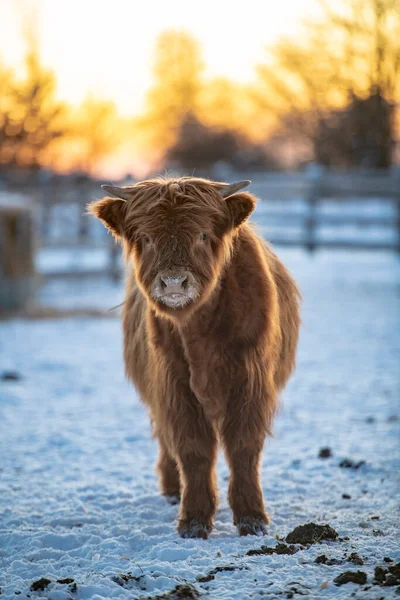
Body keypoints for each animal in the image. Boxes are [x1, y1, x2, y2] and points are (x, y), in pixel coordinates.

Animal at [88, 176, 300, 536]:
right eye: (146, 237)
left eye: (202, 234)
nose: (174, 282)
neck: (200, 333)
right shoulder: (173, 381)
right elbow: (192, 447)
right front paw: (195, 519)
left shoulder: (251, 378)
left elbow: (243, 446)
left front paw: (251, 516)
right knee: (165, 437)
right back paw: (174, 489)